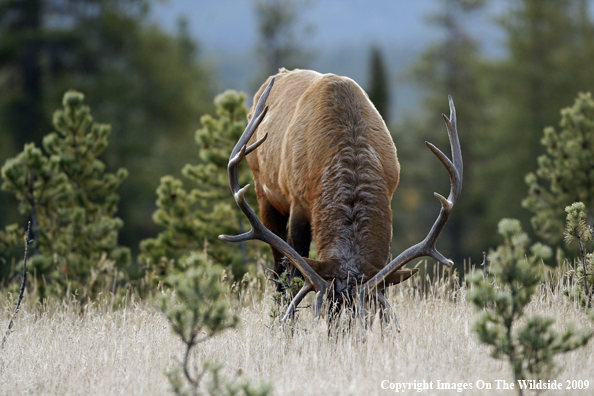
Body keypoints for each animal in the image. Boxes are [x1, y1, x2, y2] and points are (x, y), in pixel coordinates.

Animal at [220, 69, 460, 326]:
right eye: (327, 310)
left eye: (361, 312)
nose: (341, 334)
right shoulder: (299, 204)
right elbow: (294, 276)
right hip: (264, 192)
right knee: (278, 273)